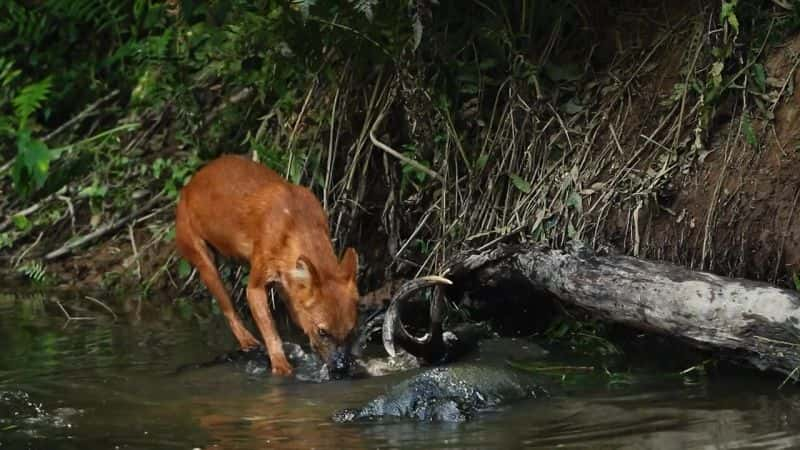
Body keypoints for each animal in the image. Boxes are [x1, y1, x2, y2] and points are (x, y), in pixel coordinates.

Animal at [178, 155, 362, 376]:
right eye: (323, 331)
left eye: (351, 331)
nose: (341, 367)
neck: (296, 221)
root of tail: (190, 184)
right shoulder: (255, 286)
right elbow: (271, 331)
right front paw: (281, 366)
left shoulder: (288, 286)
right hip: (205, 263)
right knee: (229, 311)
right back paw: (248, 342)